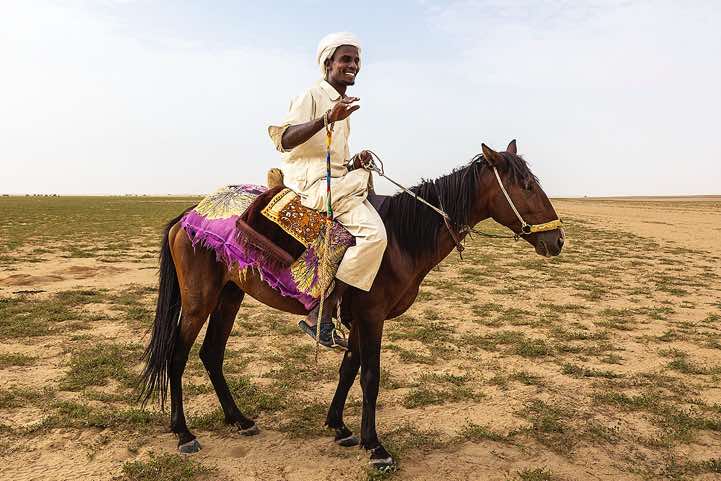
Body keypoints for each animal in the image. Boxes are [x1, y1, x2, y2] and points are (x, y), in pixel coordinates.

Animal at [140, 140, 564, 469]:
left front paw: (340, 427)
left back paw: (239, 419)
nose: (557, 240)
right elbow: (370, 376)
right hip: (200, 300)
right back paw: (183, 433)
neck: (401, 239)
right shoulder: (373, 317)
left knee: (211, 353)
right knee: (177, 355)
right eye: (526, 185)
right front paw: (375, 447)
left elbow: (349, 368)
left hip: (230, 295)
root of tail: (188, 215)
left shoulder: (360, 319)